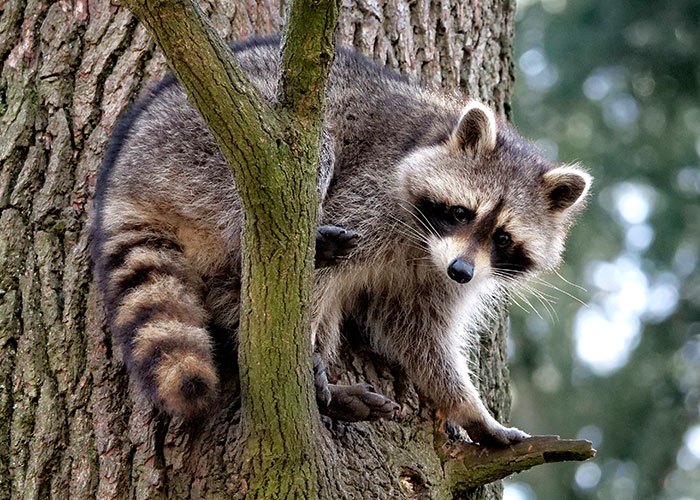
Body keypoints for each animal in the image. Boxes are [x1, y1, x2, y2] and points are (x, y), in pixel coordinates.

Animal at [91, 37, 591, 446]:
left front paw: (468, 409)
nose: (462, 271)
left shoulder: (438, 276)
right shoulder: (373, 189)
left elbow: (417, 333)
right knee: (296, 174)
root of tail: (123, 172)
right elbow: (316, 281)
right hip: (208, 148)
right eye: (460, 213)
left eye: (503, 237)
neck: (425, 248)